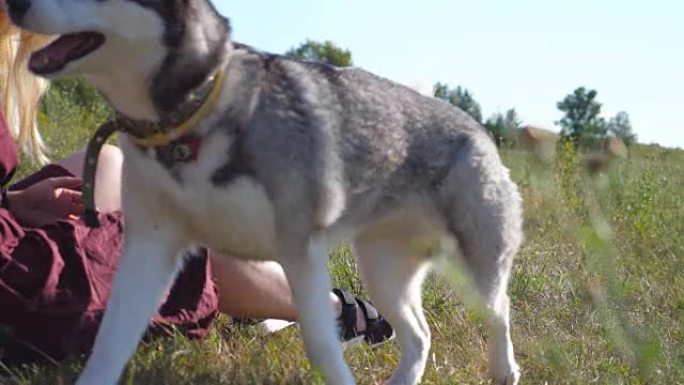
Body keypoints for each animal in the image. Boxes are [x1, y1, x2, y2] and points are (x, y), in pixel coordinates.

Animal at [8, 0, 524, 382]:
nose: (14, 3)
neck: (190, 121)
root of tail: (477, 127)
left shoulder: (301, 252)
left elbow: (322, 344)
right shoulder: (149, 247)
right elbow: (110, 342)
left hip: (476, 267)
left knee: (499, 309)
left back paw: (504, 368)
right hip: (383, 269)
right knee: (419, 337)